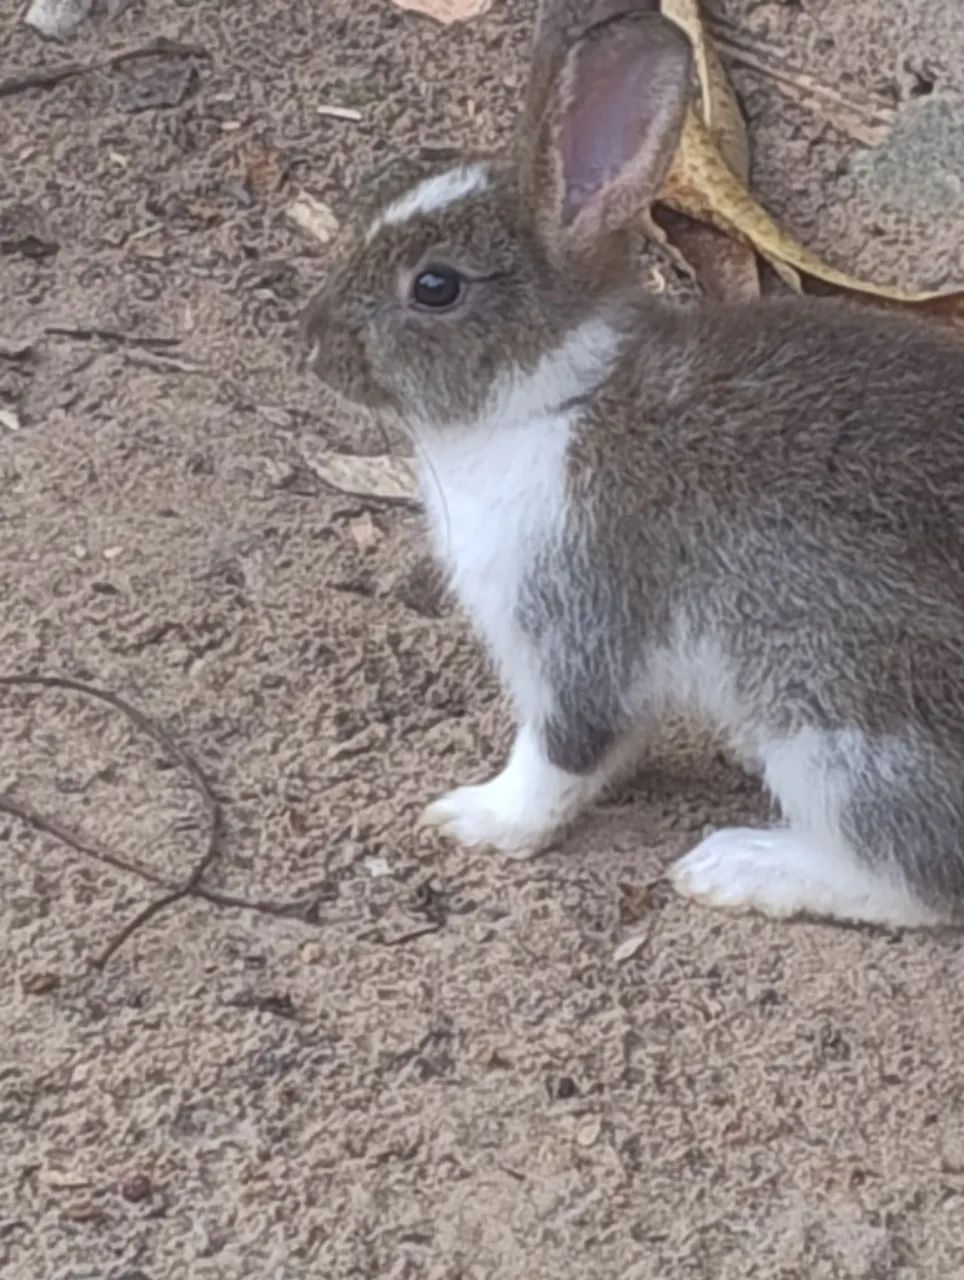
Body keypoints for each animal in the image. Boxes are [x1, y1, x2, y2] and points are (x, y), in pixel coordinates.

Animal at [301, 0, 964, 930]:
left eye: (435, 287)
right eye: (382, 183)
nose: (311, 345)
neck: (557, 398)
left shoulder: (574, 622)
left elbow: (561, 755)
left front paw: (480, 819)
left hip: (837, 722)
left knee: (921, 879)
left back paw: (743, 865)